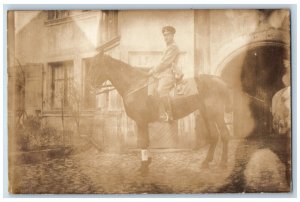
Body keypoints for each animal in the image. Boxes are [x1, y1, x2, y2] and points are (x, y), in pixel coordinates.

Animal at [88, 53, 231, 175]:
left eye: (96, 65)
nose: (90, 86)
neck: (135, 85)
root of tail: (220, 80)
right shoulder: (143, 123)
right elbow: (146, 142)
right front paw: (147, 163)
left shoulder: (141, 121)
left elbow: (143, 142)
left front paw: (143, 168)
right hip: (207, 114)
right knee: (214, 136)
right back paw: (206, 162)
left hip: (216, 114)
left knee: (224, 135)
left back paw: (223, 163)